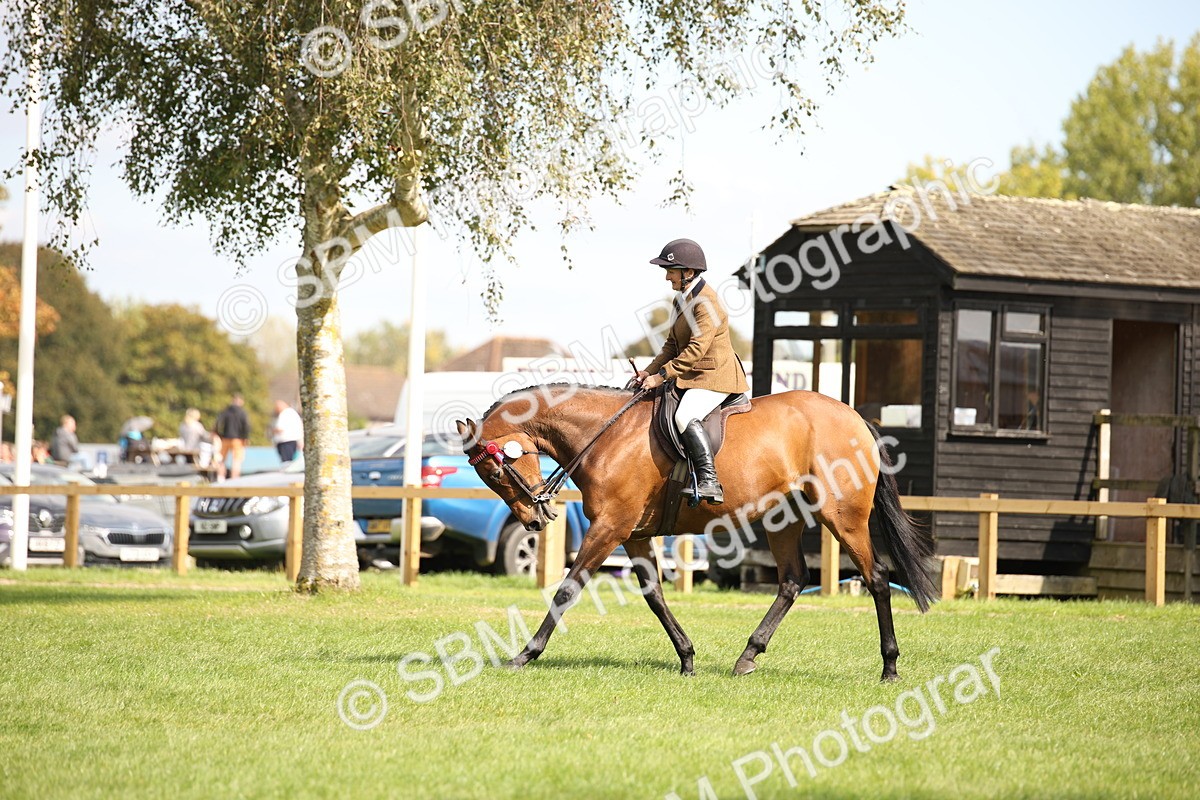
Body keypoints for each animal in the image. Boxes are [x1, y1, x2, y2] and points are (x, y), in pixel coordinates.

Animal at [456, 383, 937, 681]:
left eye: (495, 472)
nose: (534, 521)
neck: (605, 435)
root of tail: (854, 418)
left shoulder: (609, 528)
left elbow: (566, 590)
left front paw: (525, 654)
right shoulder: (632, 534)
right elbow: (654, 595)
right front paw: (687, 658)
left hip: (843, 518)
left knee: (877, 579)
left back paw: (890, 667)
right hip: (785, 519)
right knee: (792, 581)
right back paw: (748, 656)